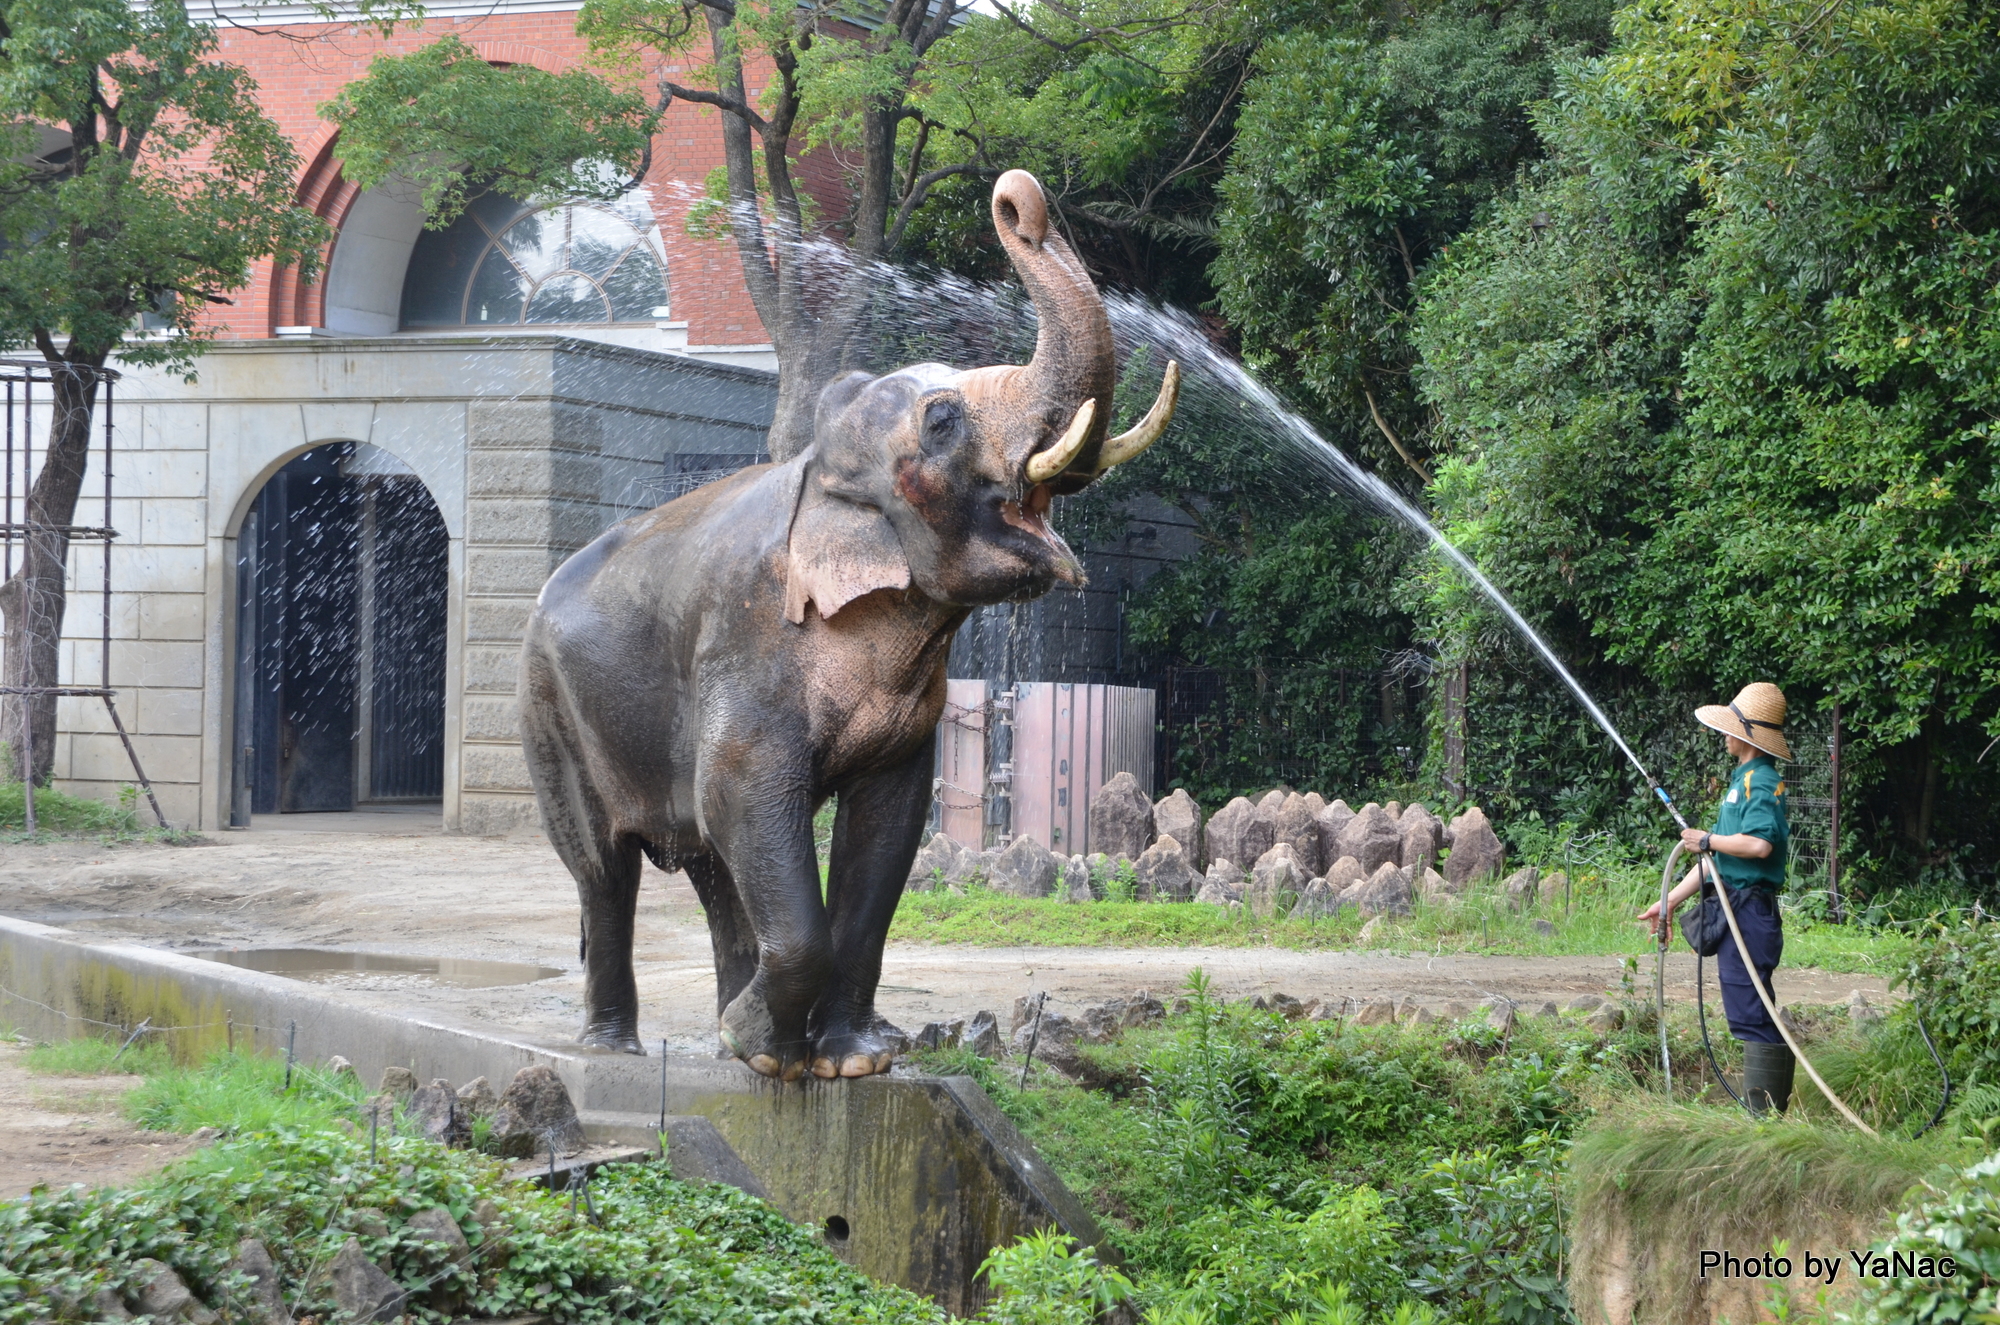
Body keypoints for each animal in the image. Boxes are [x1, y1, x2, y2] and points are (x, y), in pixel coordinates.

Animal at [516, 169, 1176, 1080]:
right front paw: (777, 1048)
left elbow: (887, 826)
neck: (818, 474)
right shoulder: (747, 647)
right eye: (943, 420)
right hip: (548, 708)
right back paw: (621, 1046)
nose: (1017, 198)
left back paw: (732, 1044)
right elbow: (743, 795)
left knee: (710, 866)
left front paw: (846, 1061)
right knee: (604, 870)